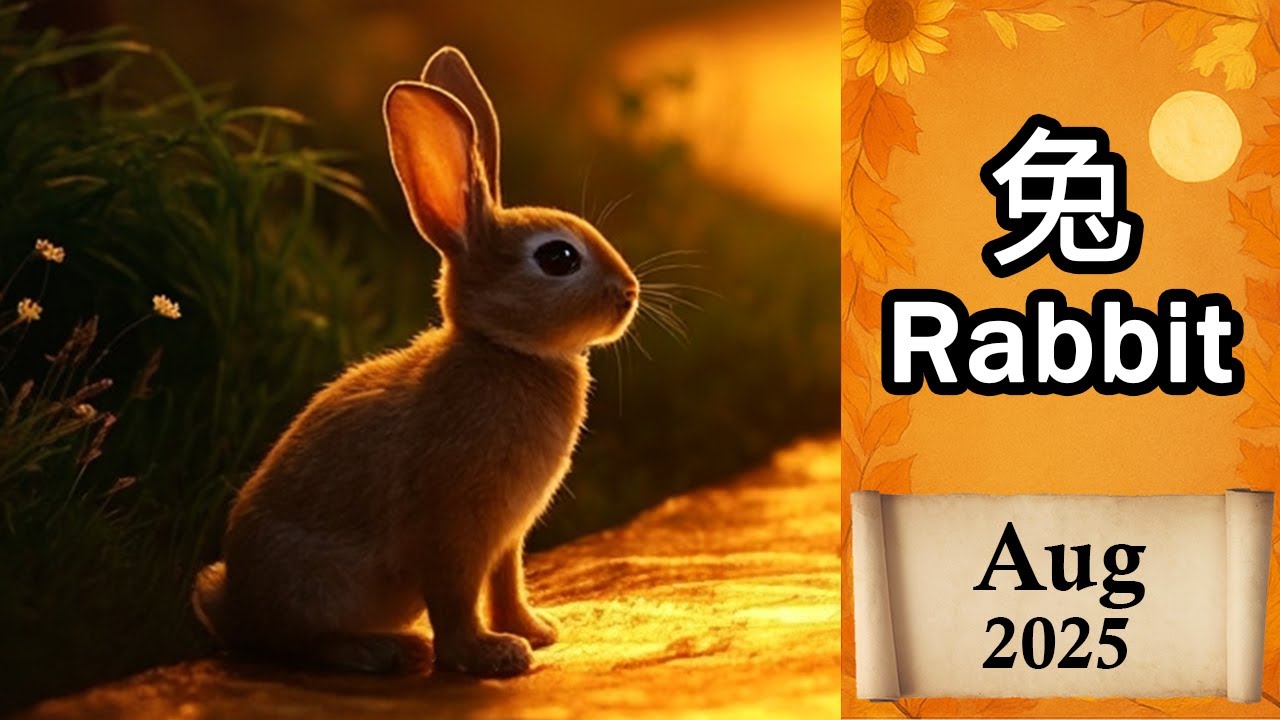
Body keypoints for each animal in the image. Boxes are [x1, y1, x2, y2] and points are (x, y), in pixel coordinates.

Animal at [191, 47, 639, 678]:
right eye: (558, 258)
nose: (629, 293)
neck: (502, 347)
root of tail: (230, 603)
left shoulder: (507, 538)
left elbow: (506, 583)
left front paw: (534, 631)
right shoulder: (451, 529)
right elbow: (454, 599)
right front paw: (489, 656)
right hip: (318, 586)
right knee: (298, 643)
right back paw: (387, 650)